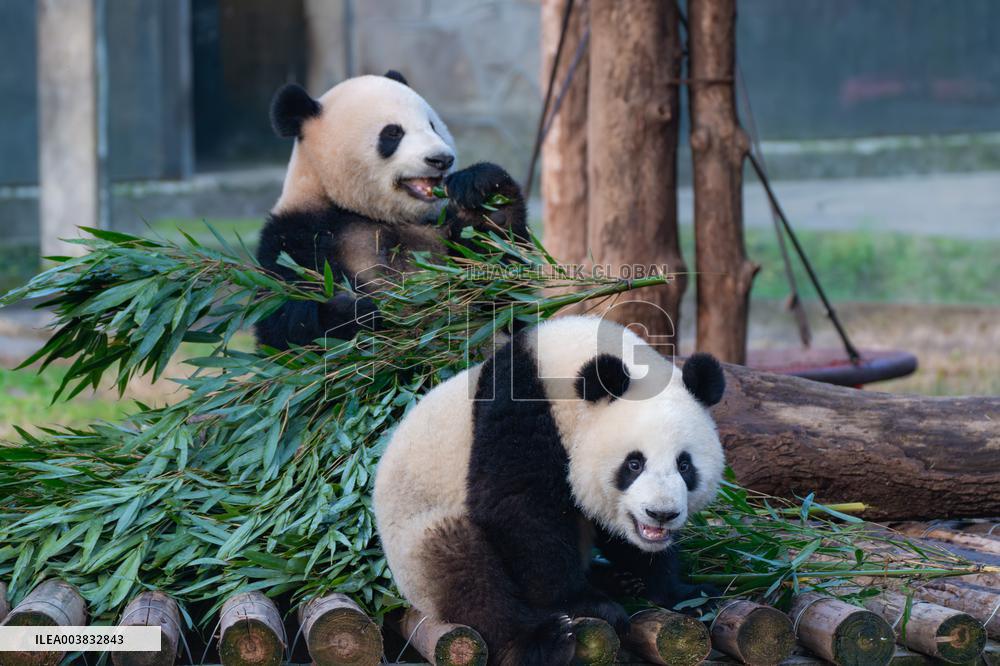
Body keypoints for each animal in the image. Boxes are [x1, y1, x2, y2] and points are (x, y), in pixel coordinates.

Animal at [256, 70, 529, 350]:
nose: (441, 159)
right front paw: (355, 312)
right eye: (393, 133)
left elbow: (502, 293)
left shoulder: (441, 226)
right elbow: (285, 322)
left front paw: (485, 194)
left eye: (432, 125)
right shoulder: (295, 237)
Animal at [373, 315, 726, 666]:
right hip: (416, 544)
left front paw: (686, 595)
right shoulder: (518, 410)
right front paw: (588, 604)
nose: (661, 514)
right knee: (463, 568)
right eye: (634, 463)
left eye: (685, 465)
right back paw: (540, 640)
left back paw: (619, 580)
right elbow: (522, 509)